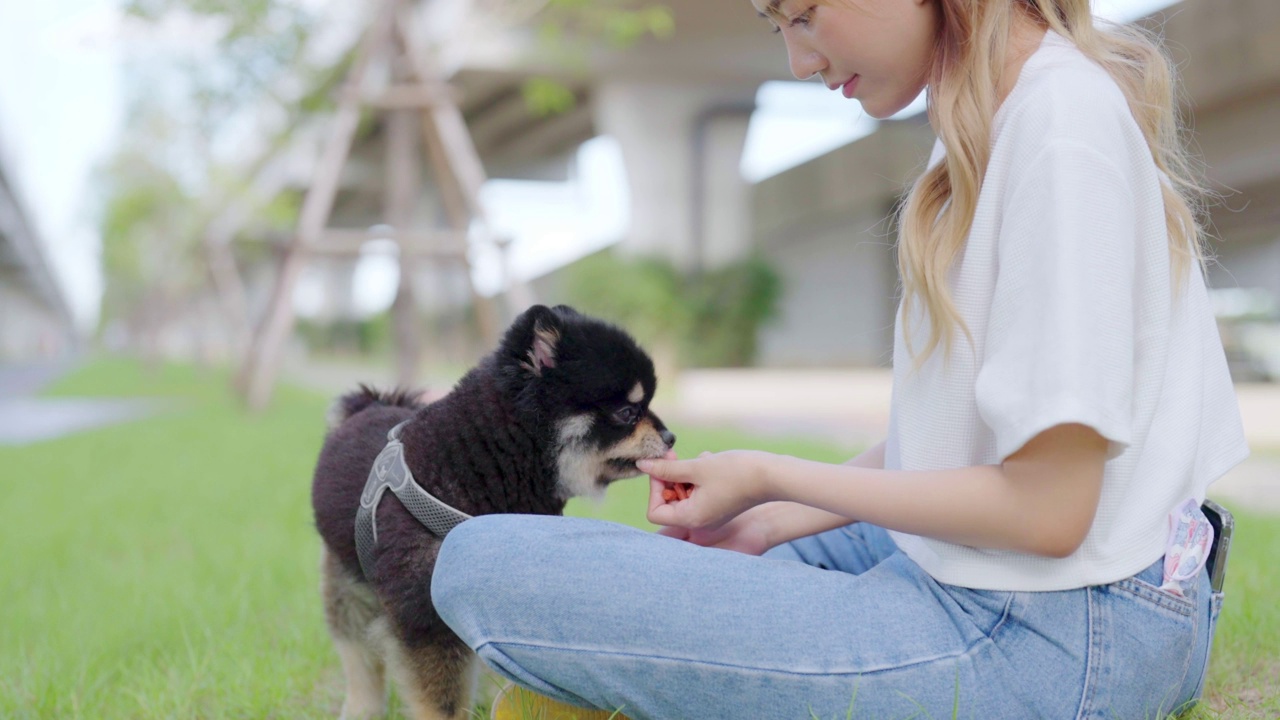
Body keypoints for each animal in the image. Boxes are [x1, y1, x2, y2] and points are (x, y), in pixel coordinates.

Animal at [308, 302, 675, 717]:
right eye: (628, 412)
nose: (671, 437)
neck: (479, 463)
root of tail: (371, 403)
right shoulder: (425, 614)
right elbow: (442, 701)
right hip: (347, 581)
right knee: (359, 658)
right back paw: (362, 707)